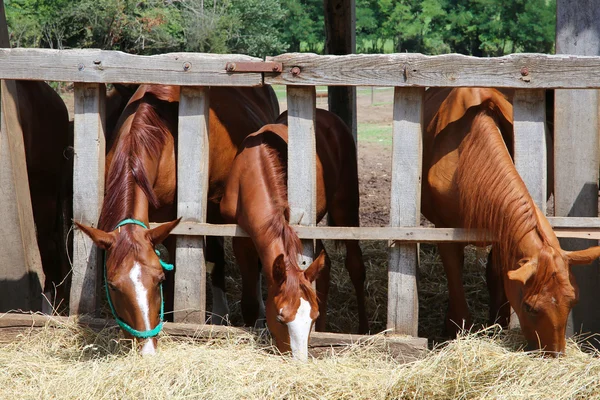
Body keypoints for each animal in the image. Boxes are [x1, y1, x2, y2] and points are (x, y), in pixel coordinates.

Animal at [220, 108, 366, 360]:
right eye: (280, 317)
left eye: (311, 317)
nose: (298, 359)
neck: (252, 170)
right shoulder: (241, 241)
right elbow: (250, 301)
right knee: (325, 269)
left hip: (345, 207)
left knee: (356, 265)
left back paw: (364, 329)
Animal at [422, 87, 600, 354]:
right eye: (529, 307)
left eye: (573, 300)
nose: (554, 353)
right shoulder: (444, 232)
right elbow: (454, 273)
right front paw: (457, 329)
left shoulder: (501, 233)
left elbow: (498, 274)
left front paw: (499, 322)